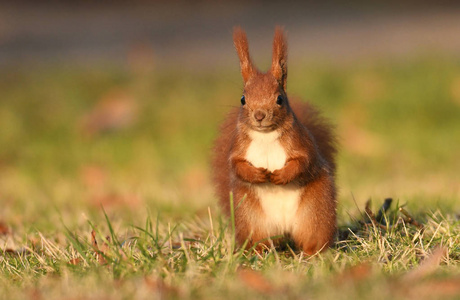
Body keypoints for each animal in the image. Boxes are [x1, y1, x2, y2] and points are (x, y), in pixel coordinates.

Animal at [212, 27, 338, 254]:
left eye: (279, 99)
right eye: (243, 99)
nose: (259, 115)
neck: (265, 136)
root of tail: (284, 228)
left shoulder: (300, 142)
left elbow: (304, 161)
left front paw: (281, 176)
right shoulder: (238, 146)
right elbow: (236, 165)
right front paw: (257, 174)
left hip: (316, 212)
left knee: (313, 237)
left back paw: (312, 254)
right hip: (251, 218)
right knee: (259, 240)